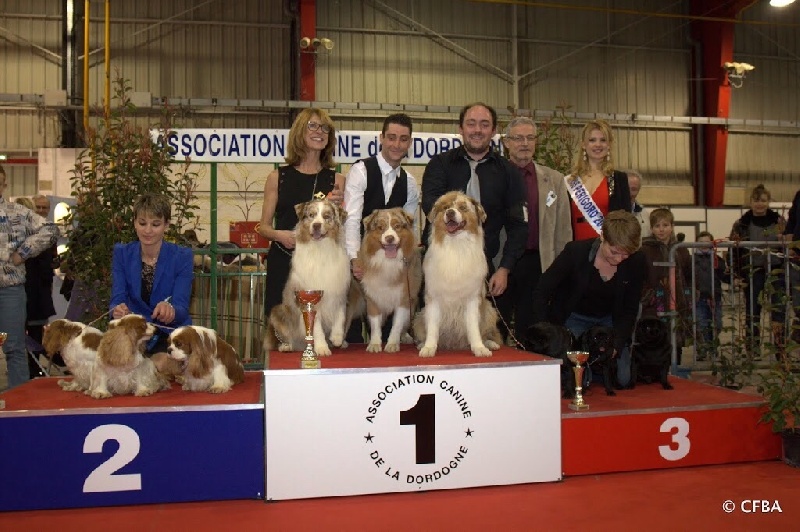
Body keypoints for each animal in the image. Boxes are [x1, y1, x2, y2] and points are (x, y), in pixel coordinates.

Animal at [266, 200, 356, 358]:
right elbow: (316, 327)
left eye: (326, 216)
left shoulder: (340, 292)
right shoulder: (309, 299)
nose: (316, 225)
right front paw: (322, 348)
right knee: (285, 336)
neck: (321, 249)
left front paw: (337, 338)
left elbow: (340, 316)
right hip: (278, 311)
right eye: (311, 215)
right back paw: (287, 346)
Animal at [360, 208, 424, 354]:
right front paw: (374, 344)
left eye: (397, 226)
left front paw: (392, 344)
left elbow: (397, 324)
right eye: (380, 228)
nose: (390, 238)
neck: (388, 262)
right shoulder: (373, 297)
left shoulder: (404, 298)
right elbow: (375, 325)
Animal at [412, 191, 500, 358]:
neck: (455, 244)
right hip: (419, 317)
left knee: (485, 332)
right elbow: (432, 328)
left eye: (462, 207)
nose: (450, 213)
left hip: (489, 311)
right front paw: (429, 347)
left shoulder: (472, 298)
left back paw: (490, 344)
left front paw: (479, 348)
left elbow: (473, 327)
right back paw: (421, 344)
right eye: (445, 207)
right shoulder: (433, 298)